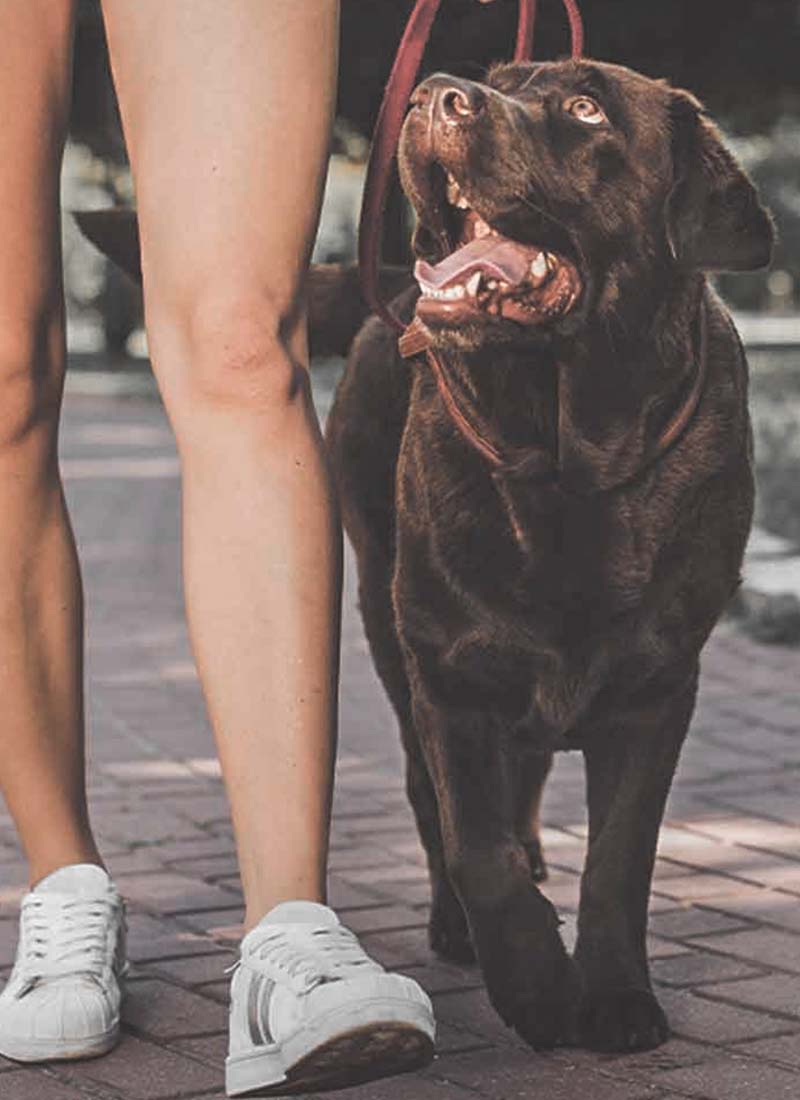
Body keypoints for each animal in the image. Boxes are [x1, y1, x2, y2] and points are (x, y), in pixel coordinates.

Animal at [325, 58, 774, 1053]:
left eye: (584, 107)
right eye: (498, 81)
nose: (436, 93)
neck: (568, 461)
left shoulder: (656, 690)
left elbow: (619, 859)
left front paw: (616, 997)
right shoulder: (448, 673)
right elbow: (473, 843)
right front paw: (533, 986)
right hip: (383, 614)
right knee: (436, 798)